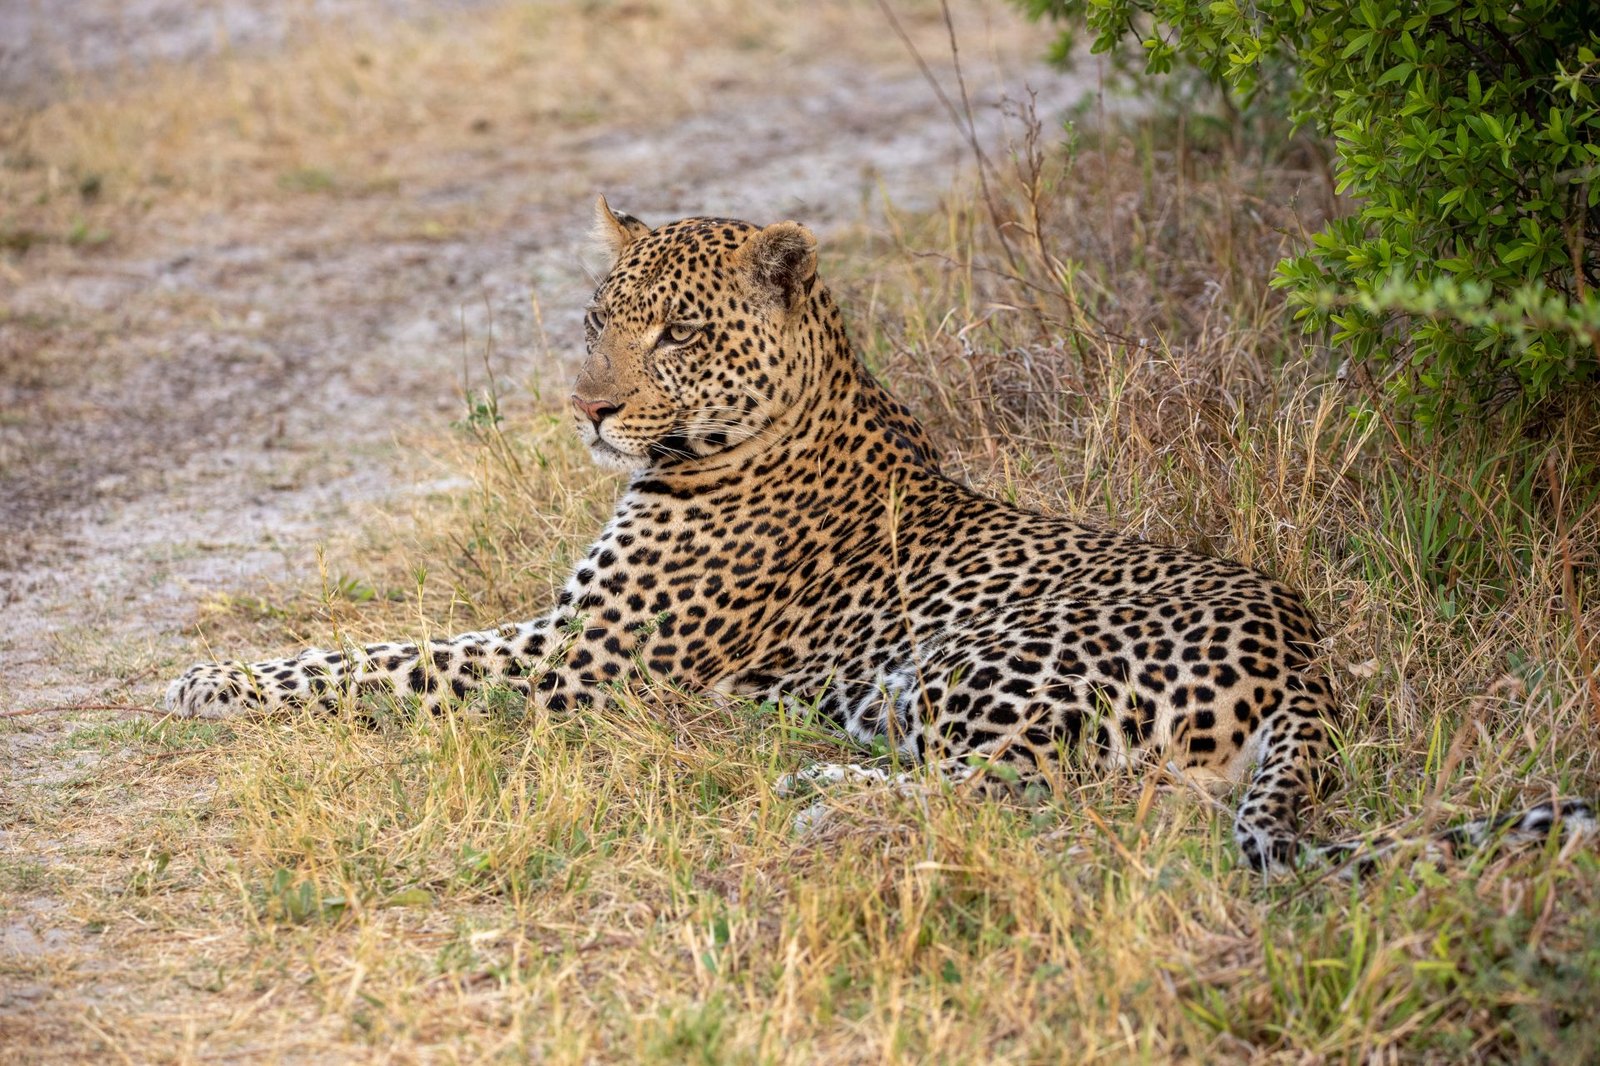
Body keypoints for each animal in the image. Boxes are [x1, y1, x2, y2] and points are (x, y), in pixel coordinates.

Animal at [166, 197, 1593, 872]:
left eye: (674, 333)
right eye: (594, 318)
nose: (587, 408)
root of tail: (1308, 653)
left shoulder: (579, 660)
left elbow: (375, 660)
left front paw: (207, 681)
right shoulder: (567, 641)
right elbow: (378, 648)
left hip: (975, 662)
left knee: (1015, 799)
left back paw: (815, 791)